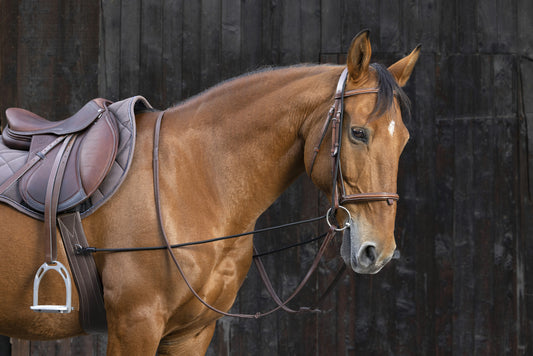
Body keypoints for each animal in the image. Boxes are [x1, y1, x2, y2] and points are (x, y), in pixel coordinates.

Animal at [0, 30, 418, 354]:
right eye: (358, 132)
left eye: (404, 140)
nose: (378, 251)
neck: (194, 179)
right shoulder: (136, 324)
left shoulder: (191, 333)